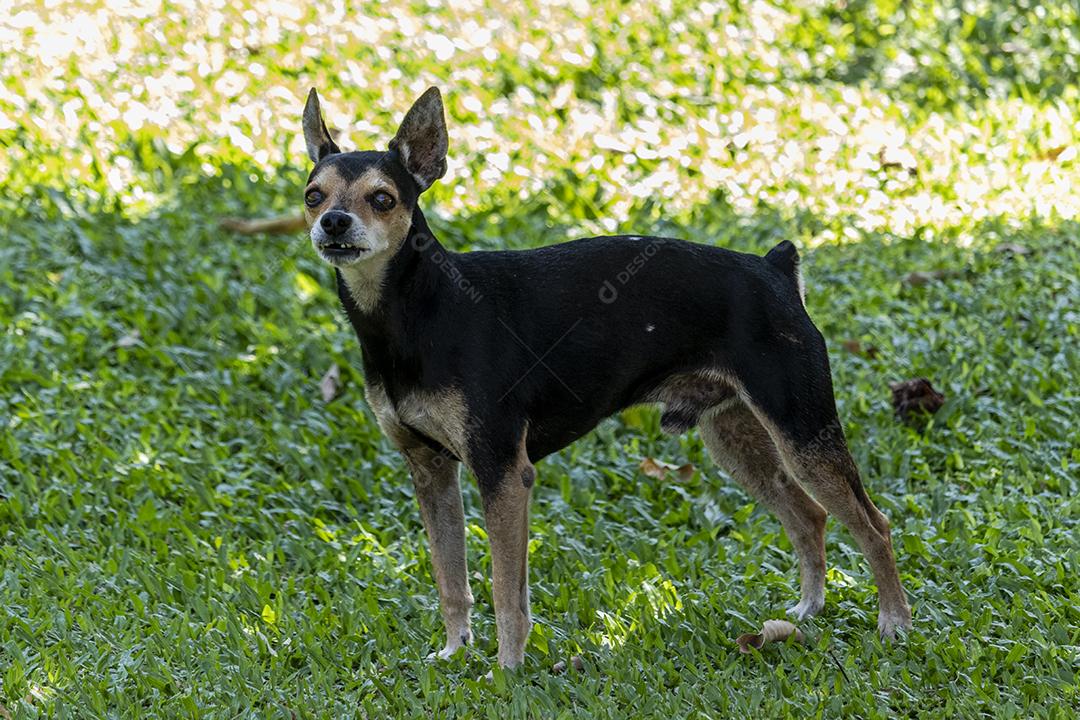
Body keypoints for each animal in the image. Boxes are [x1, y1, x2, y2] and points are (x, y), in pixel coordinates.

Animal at [302, 87, 911, 669]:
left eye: (383, 198)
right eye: (313, 195)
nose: (333, 223)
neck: (413, 313)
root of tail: (775, 268)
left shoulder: (503, 473)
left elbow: (506, 592)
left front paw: (507, 670)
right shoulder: (430, 471)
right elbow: (452, 582)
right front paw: (455, 654)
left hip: (802, 433)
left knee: (874, 526)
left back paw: (895, 624)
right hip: (739, 442)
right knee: (809, 517)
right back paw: (807, 611)